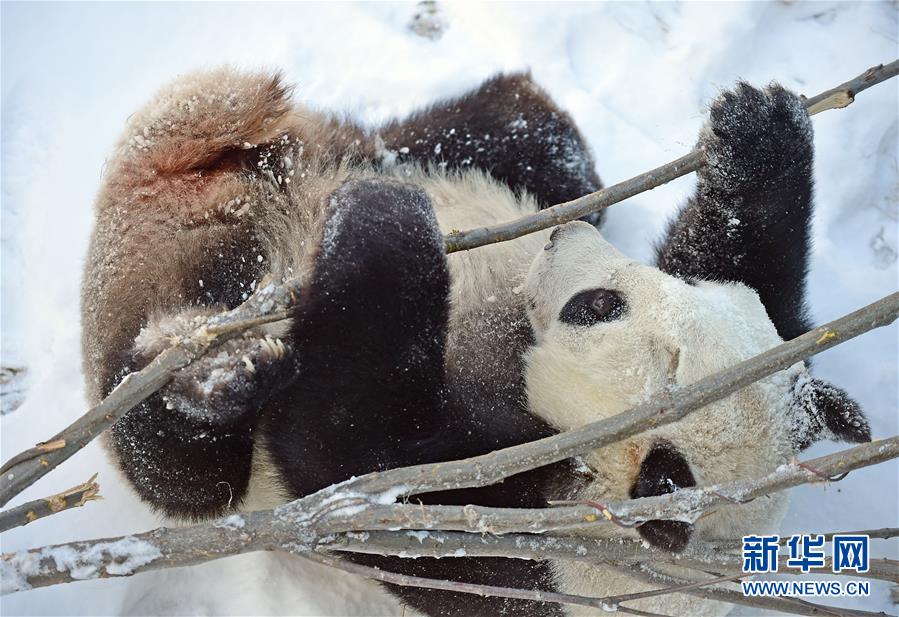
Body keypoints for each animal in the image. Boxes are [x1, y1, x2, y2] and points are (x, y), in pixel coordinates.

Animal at [82, 70, 872, 612]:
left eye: (595, 306)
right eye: (624, 290)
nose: (560, 237)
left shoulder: (509, 547)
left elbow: (347, 457)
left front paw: (385, 233)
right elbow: (760, 288)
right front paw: (761, 136)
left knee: (176, 461)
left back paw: (216, 375)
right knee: (513, 139)